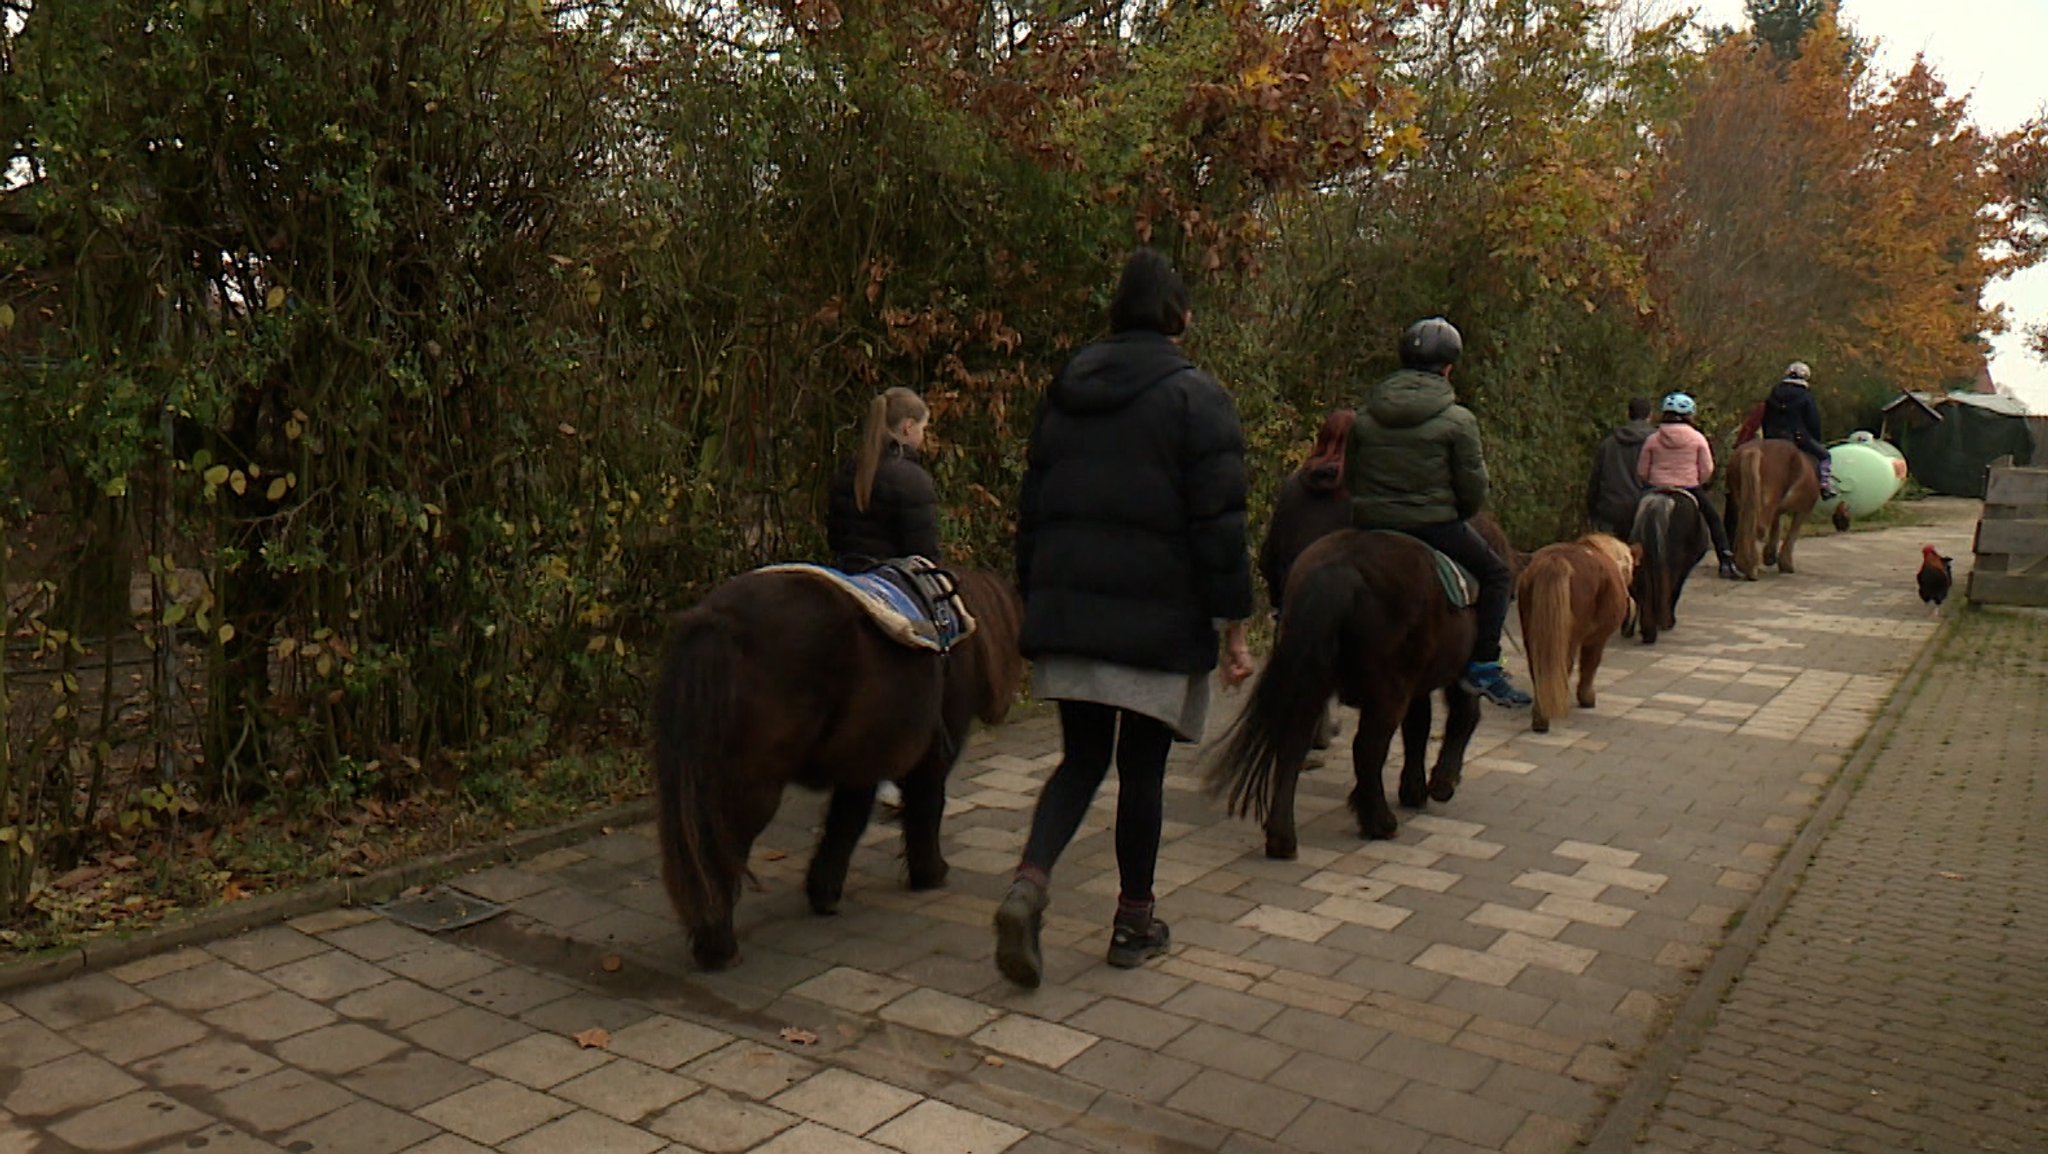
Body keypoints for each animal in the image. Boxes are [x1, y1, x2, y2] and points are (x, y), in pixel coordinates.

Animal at [655, 565, 1024, 967]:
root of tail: (720, 620)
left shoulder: (861, 763)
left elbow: (844, 824)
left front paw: (823, 891)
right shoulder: (930, 756)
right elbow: (923, 809)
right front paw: (930, 873)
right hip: (752, 786)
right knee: (721, 852)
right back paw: (718, 946)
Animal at [1204, 532, 1482, 856]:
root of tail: (1339, 569)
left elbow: (1418, 726)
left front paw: (1414, 789)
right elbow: (1459, 717)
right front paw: (1440, 783)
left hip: (1314, 680)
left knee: (1293, 744)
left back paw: (1282, 838)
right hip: (1388, 691)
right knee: (1367, 749)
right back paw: (1379, 822)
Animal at [1515, 532, 1638, 729]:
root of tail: (1554, 560)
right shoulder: (1597, 639)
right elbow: (1590, 665)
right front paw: (1586, 698)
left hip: (1532, 632)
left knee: (1538, 667)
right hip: (1568, 638)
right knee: (1564, 666)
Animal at [1728, 438, 1826, 578]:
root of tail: (1753, 449)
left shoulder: (1778, 509)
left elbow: (1777, 525)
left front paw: (1770, 555)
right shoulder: (1803, 510)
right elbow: (1792, 532)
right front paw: (1784, 563)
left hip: (1741, 499)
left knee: (1744, 525)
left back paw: (1742, 563)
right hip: (1767, 503)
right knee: (1759, 528)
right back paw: (1751, 567)